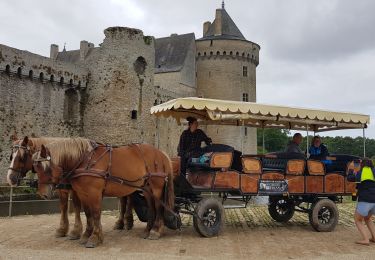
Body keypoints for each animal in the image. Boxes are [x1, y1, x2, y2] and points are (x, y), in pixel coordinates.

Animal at [32, 139, 175, 247]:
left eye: (45, 168)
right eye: (35, 168)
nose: (43, 194)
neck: (85, 160)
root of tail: (161, 153)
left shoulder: (94, 193)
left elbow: (95, 214)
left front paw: (95, 237)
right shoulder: (83, 194)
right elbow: (88, 214)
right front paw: (86, 235)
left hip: (156, 188)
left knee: (159, 207)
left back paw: (156, 231)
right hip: (147, 189)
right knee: (151, 208)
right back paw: (147, 230)